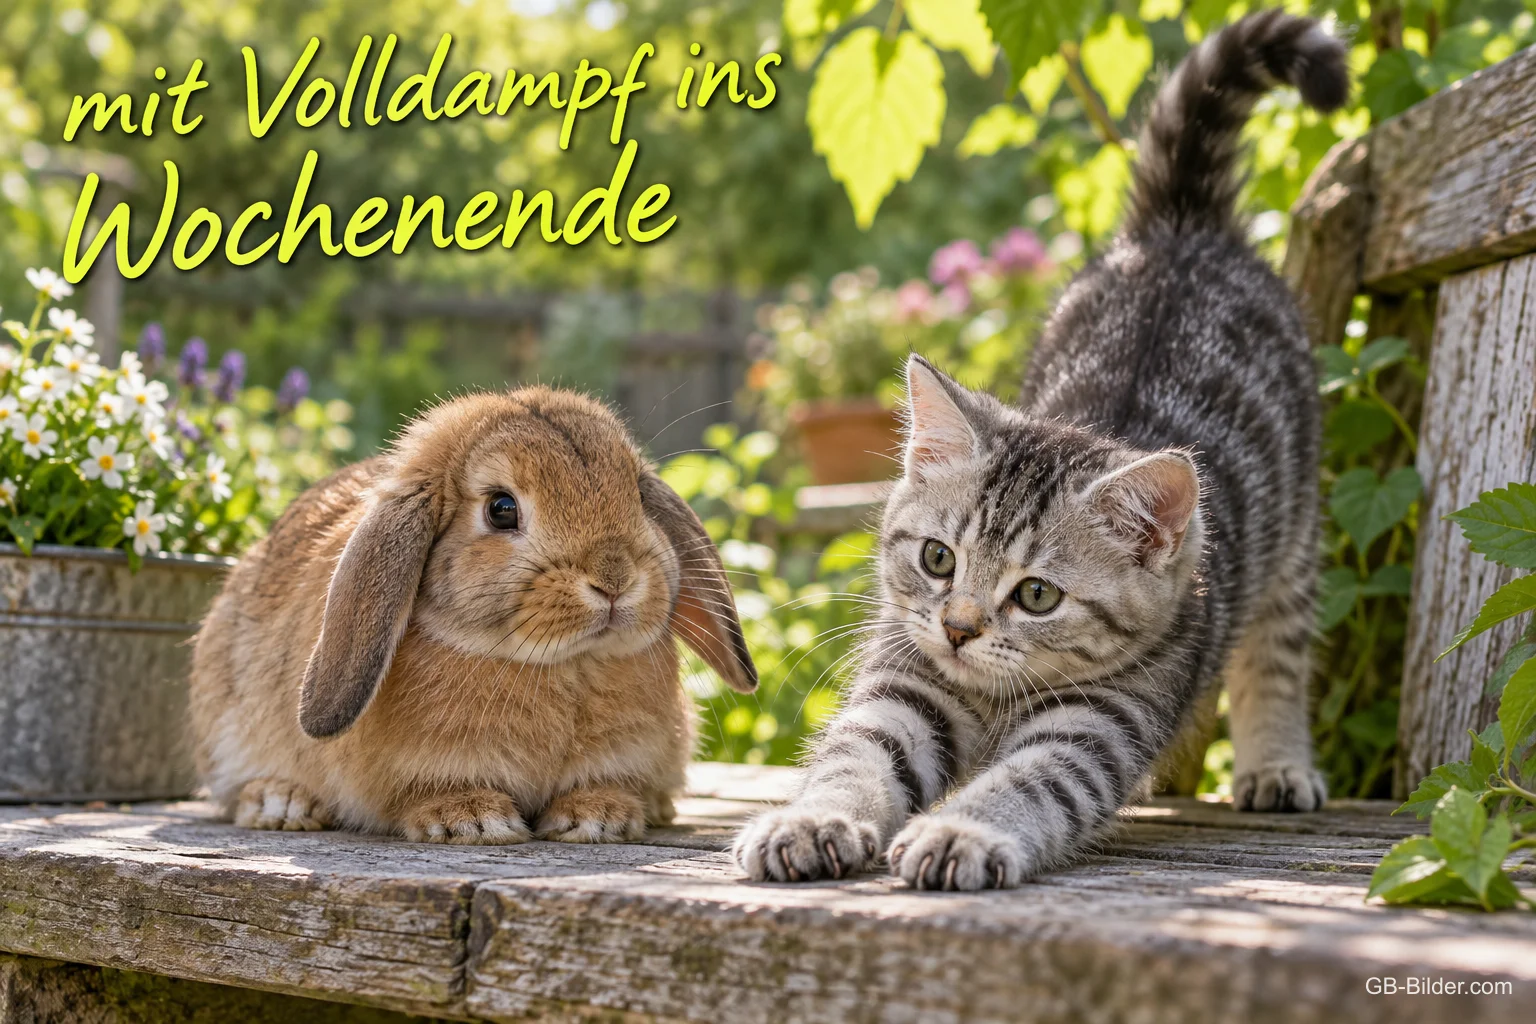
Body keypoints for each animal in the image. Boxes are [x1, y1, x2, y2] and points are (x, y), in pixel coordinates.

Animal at [189, 386, 756, 844]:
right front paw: (474, 821)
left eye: (637, 494)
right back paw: (281, 804)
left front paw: (597, 818)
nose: (614, 578)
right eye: (502, 509)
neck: (565, 665)